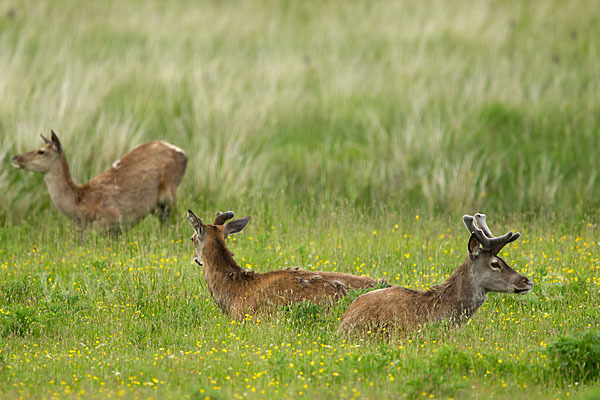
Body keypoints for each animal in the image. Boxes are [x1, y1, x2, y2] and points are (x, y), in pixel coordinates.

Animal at [11, 131, 188, 231]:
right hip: (159, 205)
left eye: (41, 151)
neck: (80, 205)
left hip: (169, 191)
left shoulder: (111, 218)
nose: (15, 157)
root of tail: (183, 153)